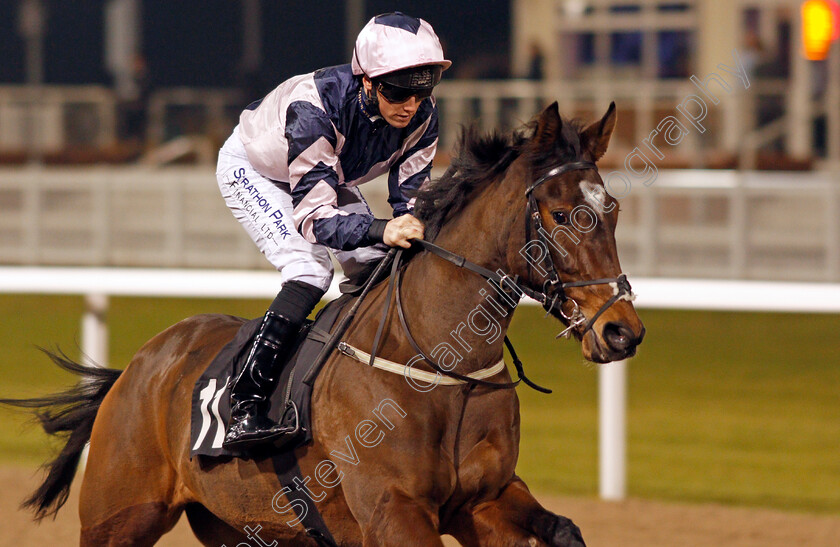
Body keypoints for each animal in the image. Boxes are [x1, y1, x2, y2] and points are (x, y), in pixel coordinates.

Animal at [4, 101, 644, 544]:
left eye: (611, 210)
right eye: (560, 213)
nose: (622, 332)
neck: (441, 366)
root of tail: (135, 369)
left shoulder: (485, 499)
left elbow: (564, 529)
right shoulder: (393, 512)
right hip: (119, 515)